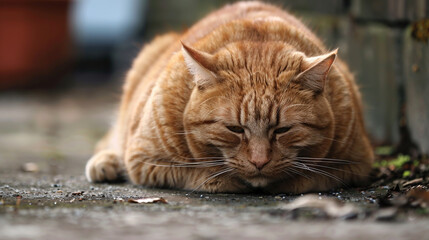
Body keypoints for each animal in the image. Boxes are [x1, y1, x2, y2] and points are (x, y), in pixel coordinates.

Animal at [84, 1, 372, 193]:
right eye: (234, 129)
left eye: (283, 130)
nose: (259, 162)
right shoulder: (143, 159)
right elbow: (206, 174)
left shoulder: (356, 164)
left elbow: (306, 178)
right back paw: (105, 162)